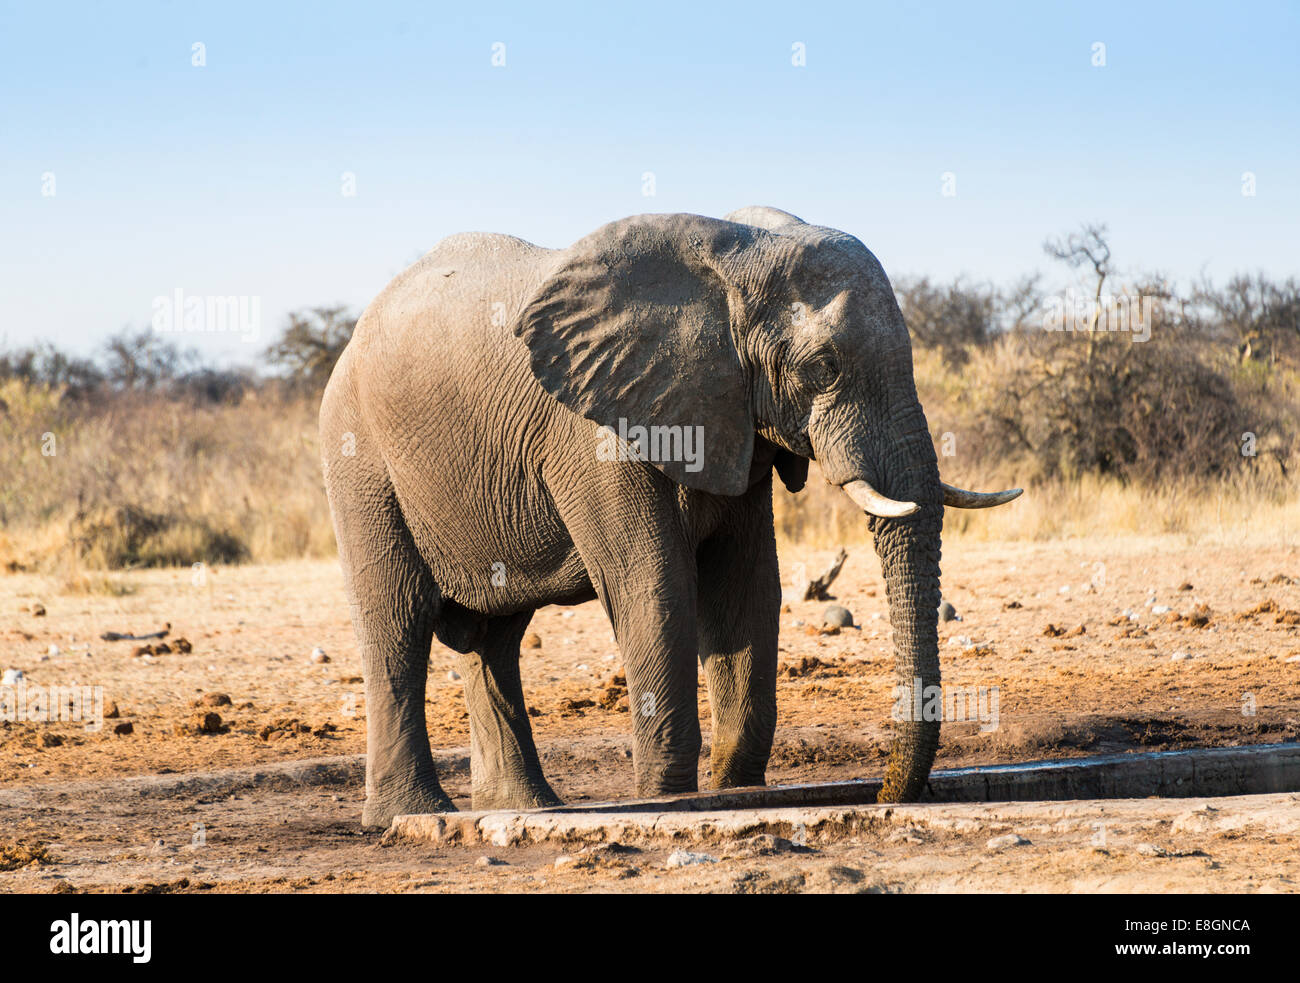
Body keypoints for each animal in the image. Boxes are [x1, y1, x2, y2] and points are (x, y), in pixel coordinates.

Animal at [319, 206, 1019, 826]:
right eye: (823, 368)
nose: (885, 793)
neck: (736, 253)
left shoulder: (733, 417)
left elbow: (745, 587)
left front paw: (735, 791)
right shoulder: (593, 432)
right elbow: (653, 587)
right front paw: (669, 798)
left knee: (494, 640)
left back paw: (526, 809)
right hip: (358, 458)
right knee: (397, 620)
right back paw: (411, 816)